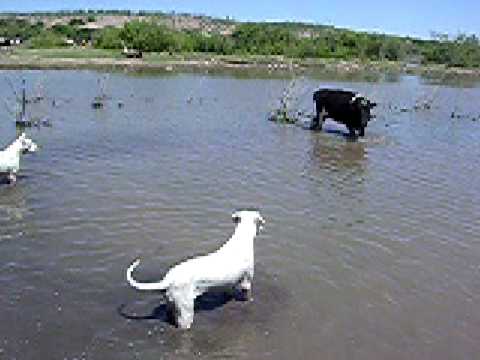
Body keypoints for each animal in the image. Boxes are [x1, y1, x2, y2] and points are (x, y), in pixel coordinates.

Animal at [125, 210, 266, 330]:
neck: (241, 238)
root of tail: (168, 280)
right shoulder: (247, 280)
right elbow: (246, 292)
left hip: (172, 302)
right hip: (186, 308)